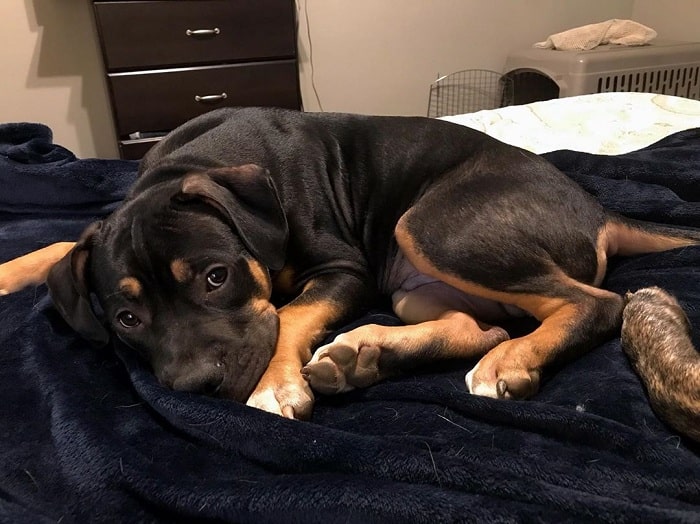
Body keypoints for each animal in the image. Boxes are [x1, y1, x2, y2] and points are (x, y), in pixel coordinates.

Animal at [1, 107, 700, 434]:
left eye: (216, 278)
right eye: (126, 318)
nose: (197, 386)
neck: (195, 165)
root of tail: (599, 210)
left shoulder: (345, 269)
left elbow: (288, 315)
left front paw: (273, 386)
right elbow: (60, 245)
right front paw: (11, 270)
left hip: (431, 226)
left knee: (594, 304)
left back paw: (507, 363)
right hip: (412, 284)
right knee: (483, 326)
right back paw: (366, 354)